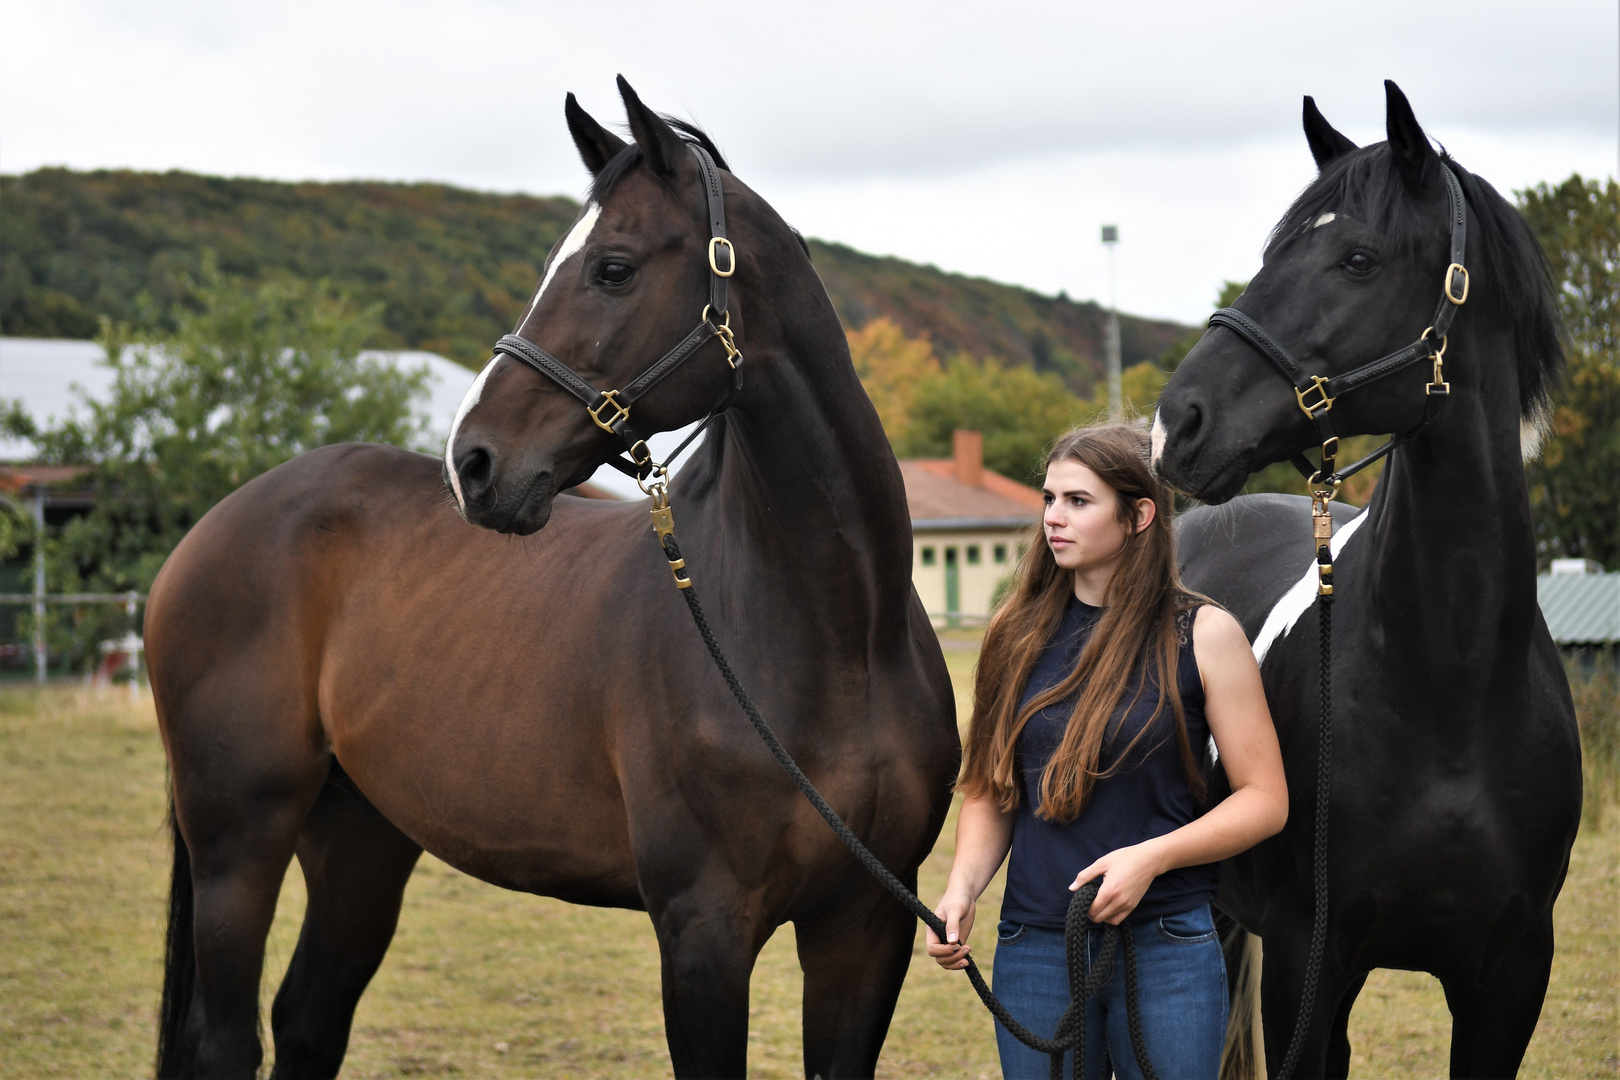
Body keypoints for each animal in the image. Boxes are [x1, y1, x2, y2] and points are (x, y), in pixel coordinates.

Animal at [149, 78, 959, 1080]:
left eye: (612, 268)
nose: (473, 463)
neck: (832, 637)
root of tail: (213, 528)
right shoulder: (704, 933)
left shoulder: (869, 923)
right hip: (238, 842)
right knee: (226, 1041)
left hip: (360, 836)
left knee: (309, 1017)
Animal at [1153, 80, 1581, 1075]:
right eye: (1273, 252)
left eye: (1357, 259)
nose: (1177, 422)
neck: (1452, 690)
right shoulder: (1309, 968)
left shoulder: (1511, 979)